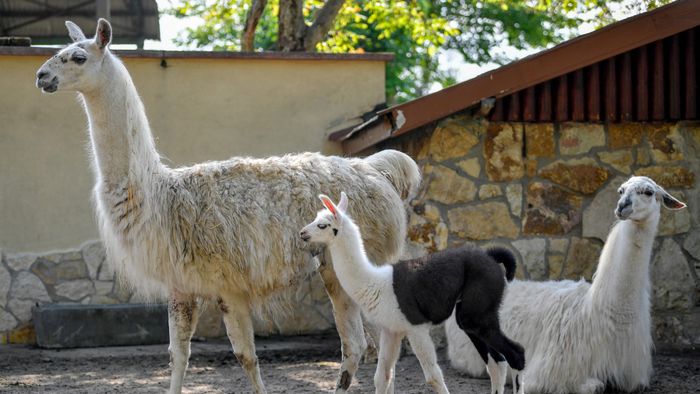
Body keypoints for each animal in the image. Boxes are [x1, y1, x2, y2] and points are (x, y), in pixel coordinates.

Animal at [300, 193, 524, 394]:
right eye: (315, 219)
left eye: (322, 225)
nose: (302, 233)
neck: (374, 282)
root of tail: (491, 257)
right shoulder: (391, 330)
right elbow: (382, 377)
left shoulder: (415, 326)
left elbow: (433, 377)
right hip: (471, 314)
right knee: (497, 363)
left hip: (479, 308)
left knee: (516, 354)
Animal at [446, 177, 688, 392]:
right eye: (621, 190)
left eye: (648, 192)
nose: (622, 207)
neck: (605, 315)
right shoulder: (550, 371)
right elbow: (595, 386)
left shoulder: (631, 375)